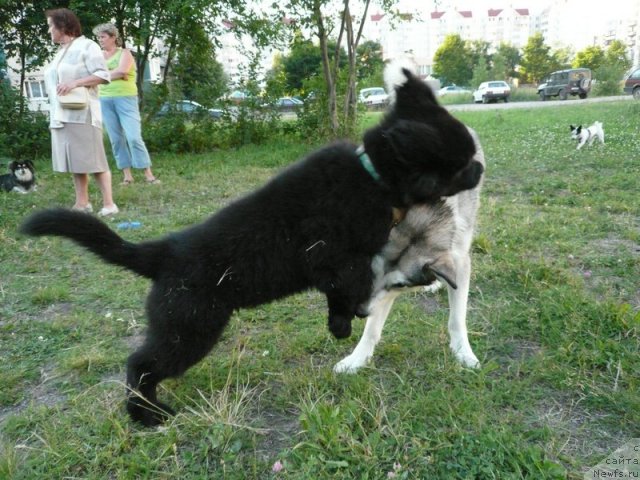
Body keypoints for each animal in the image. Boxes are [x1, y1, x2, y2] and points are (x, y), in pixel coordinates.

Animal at [20, 62, 482, 424]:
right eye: (458, 166)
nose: (479, 168)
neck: (371, 173)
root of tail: (163, 251)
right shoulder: (334, 257)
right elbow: (346, 287)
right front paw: (345, 323)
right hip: (189, 329)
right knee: (139, 366)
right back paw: (146, 416)